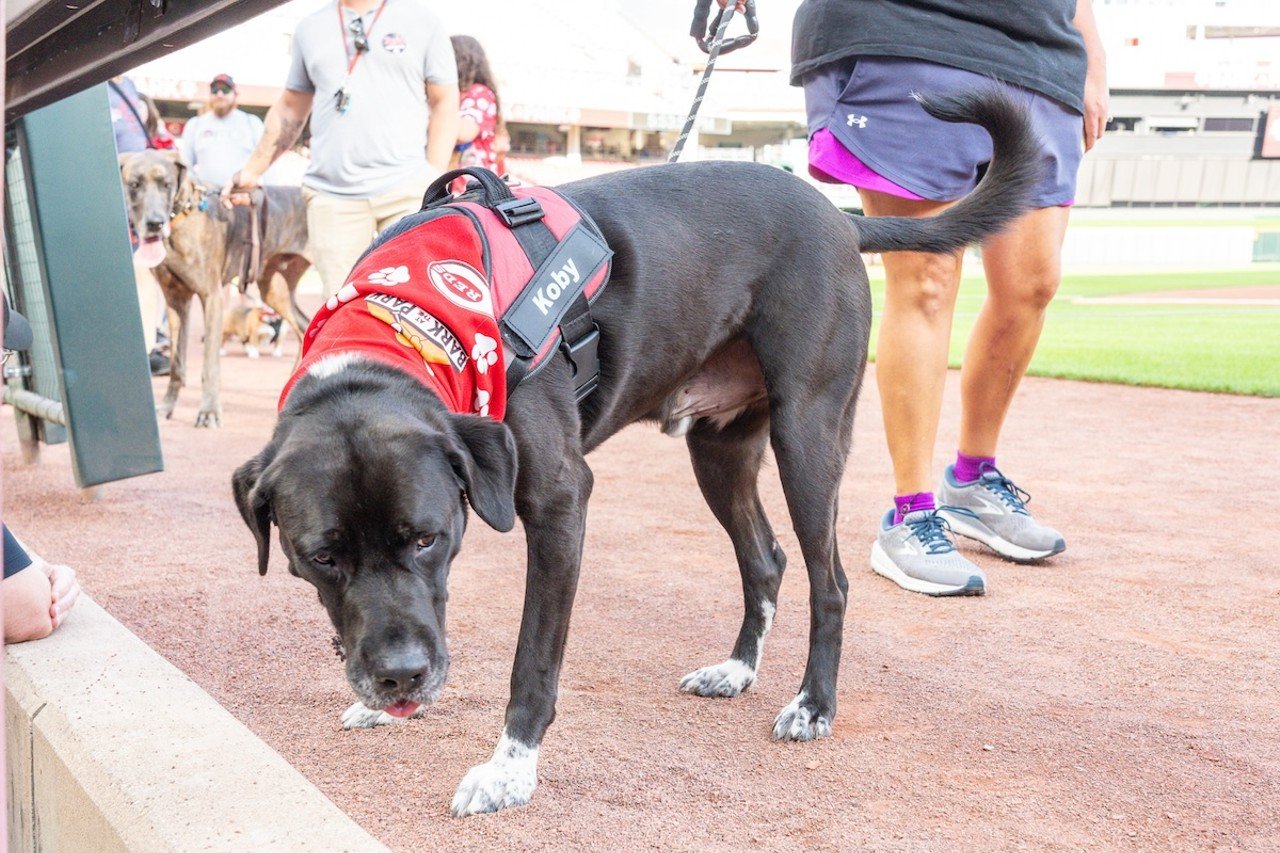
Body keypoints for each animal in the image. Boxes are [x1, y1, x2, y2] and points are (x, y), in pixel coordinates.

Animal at [232, 89, 1039, 814]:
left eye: (427, 537)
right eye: (321, 556)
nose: (399, 679)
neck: (408, 325)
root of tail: (840, 216)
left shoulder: (561, 503)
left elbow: (533, 662)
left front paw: (509, 773)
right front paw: (391, 704)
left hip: (807, 434)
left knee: (830, 579)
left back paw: (814, 703)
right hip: (719, 451)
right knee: (766, 559)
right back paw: (736, 669)